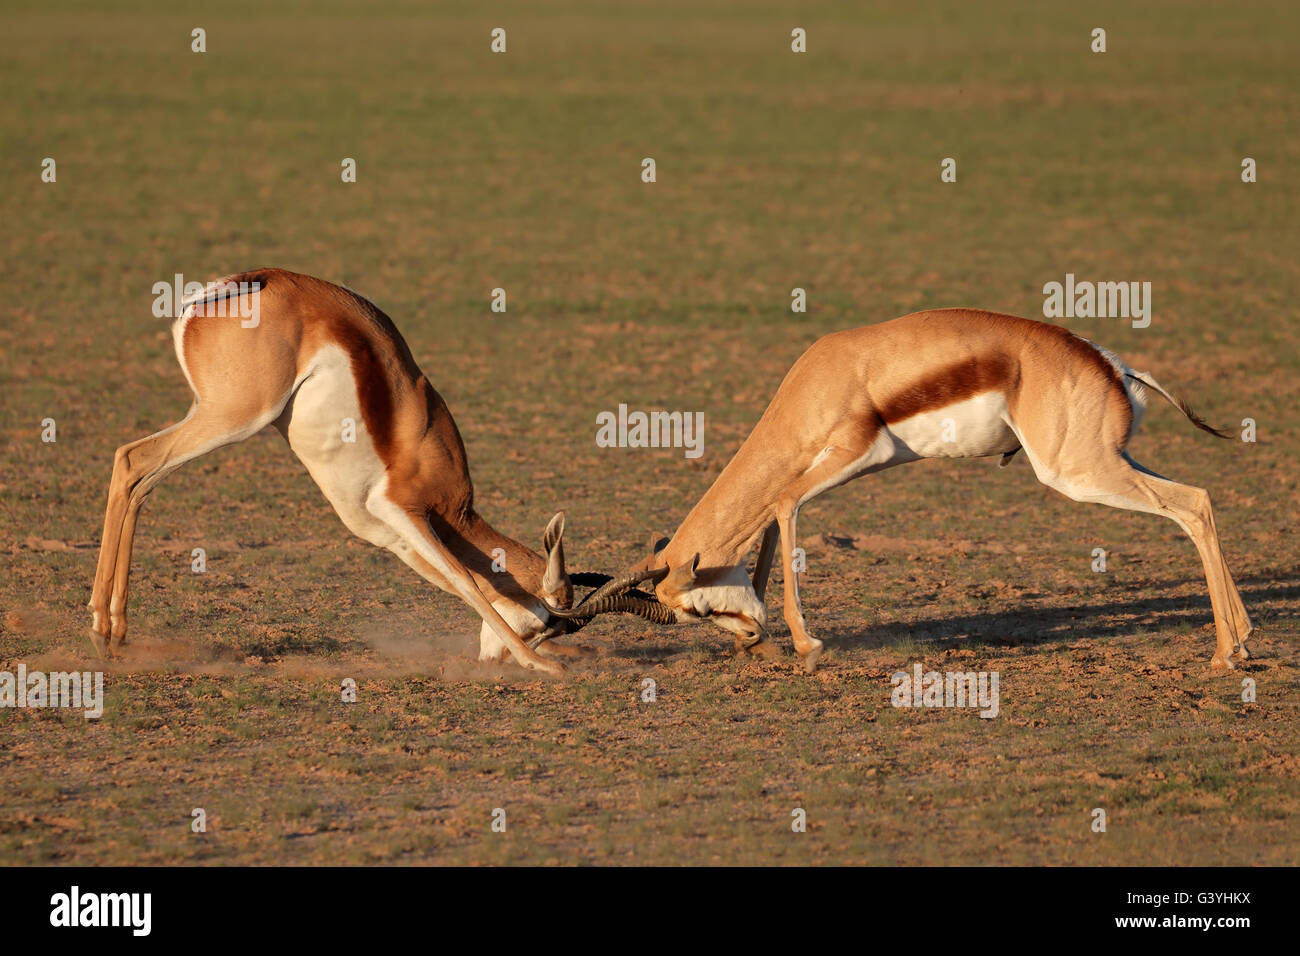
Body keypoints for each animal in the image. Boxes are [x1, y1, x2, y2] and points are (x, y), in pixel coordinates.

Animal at [92, 265, 595, 676]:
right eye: (543, 624)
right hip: (235, 419)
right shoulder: (402, 511)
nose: (495, 660)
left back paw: (112, 632)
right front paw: (542, 665)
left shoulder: (393, 537)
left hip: (208, 414)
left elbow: (455, 580)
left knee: (139, 479)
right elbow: (466, 581)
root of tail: (235, 286)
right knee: (132, 459)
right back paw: (103, 630)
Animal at [546, 310, 1248, 676]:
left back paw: (1223, 654)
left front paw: (808, 646)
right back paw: (1239, 641)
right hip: (1111, 459)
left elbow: (782, 506)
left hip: (1075, 473)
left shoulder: (850, 456)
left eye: (694, 608)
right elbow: (773, 519)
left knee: (1192, 504)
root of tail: (1112, 364)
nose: (748, 637)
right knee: (1200, 501)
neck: (824, 379)